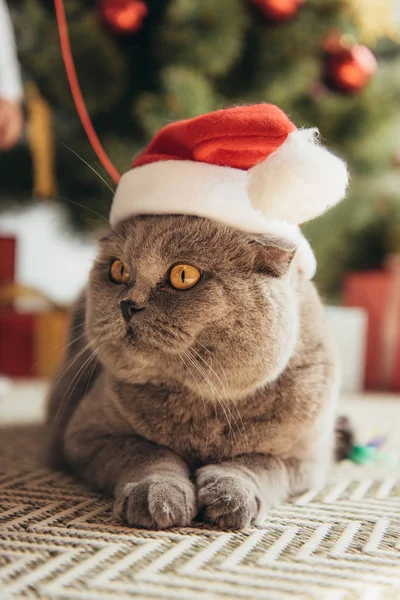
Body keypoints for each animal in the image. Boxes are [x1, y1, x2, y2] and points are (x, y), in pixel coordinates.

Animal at [46, 217, 340, 528]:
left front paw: (232, 497)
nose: (127, 304)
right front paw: (157, 495)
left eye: (184, 275)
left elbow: (260, 462)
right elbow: (146, 452)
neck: (203, 404)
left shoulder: (306, 459)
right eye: (118, 270)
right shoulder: (84, 435)